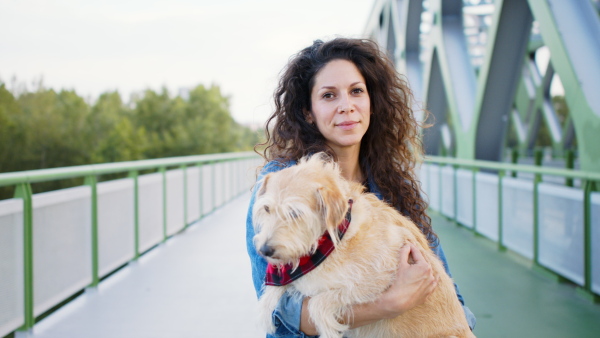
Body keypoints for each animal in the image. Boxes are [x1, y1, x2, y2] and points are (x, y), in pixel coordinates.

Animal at [252, 154, 474, 338]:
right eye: (267, 208)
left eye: (295, 213)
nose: (264, 250)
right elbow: (274, 289)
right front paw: (266, 313)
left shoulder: (376, 282)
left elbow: (319, 302)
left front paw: (329, 330)